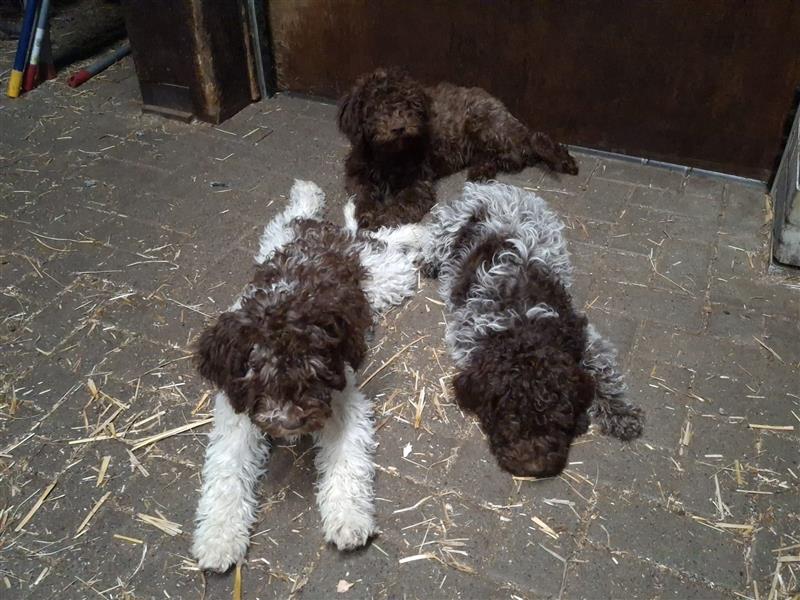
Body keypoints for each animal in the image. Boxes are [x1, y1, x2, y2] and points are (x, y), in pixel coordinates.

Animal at [190, 182, 424, 572]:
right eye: (259, 376)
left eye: (313, 372)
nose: (290, 423)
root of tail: (338, 235)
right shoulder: (236, 408)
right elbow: (226, 471)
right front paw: (219, 538)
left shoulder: (343, 398)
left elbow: (347, 461)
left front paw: (348, 519)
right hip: (278, 236)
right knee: (301, 214)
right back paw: (307, 193)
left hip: (388, 276)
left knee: (386, 241)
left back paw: (420, 234)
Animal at [424, 183, 644, 478]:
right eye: (508, 414)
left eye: (560, 416)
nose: (534, 467)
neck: (523, 324)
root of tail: (492, 187)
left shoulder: (585, 337)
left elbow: (604, 374)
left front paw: (621, 413)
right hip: (450, 223)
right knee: (436, 240)